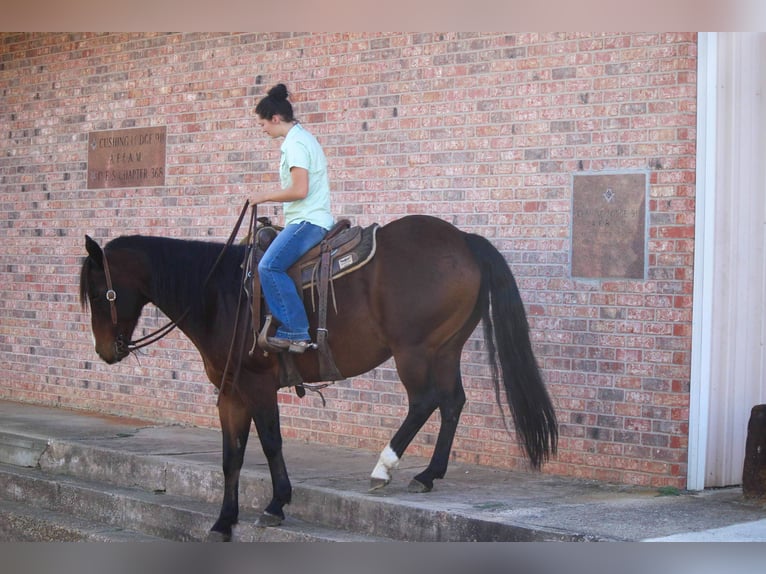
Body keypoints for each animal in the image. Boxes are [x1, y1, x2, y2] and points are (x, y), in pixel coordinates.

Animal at [79, 214, 560, 544]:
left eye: (100, 294)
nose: (105, 352)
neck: (219, 294)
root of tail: (464, 241)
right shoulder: (230, 392)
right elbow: (231, 457)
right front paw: (223, 521)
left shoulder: (256, 386)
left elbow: (270, 443)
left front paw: (276, 503)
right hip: (446, 347)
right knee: (453, 401)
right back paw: (428, 474)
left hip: (415, 350)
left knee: (426, 400)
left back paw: (384, 467)